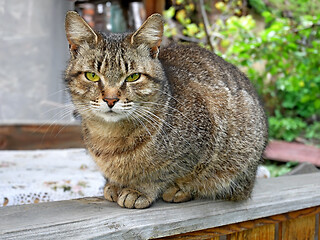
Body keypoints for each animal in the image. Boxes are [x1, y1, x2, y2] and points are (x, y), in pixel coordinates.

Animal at [63, 11, 268, 208]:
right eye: (91, 76)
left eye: (133, 77)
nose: (110, 99)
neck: (110, 138)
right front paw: (113, 184)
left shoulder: (205, 139)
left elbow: (161, 174)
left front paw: (139, 189)